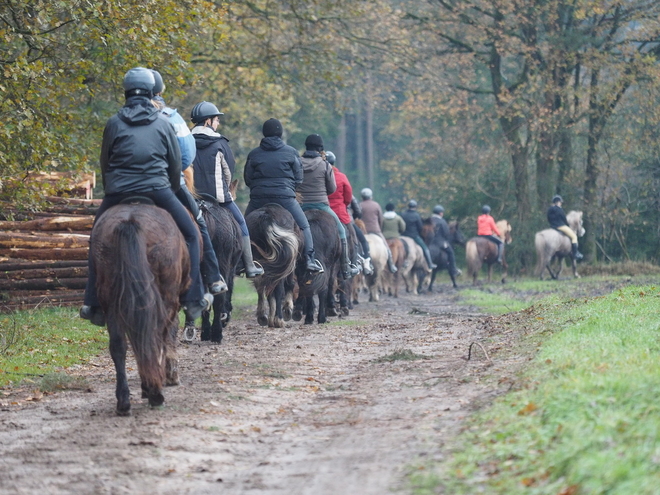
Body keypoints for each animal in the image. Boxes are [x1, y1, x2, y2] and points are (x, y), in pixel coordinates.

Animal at [90, 203, 189, 416]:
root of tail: (130, 221)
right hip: (165, 298)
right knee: (153, 338)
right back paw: (155, 394)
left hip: (110, 301)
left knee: (119, 345)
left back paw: (123, 402)